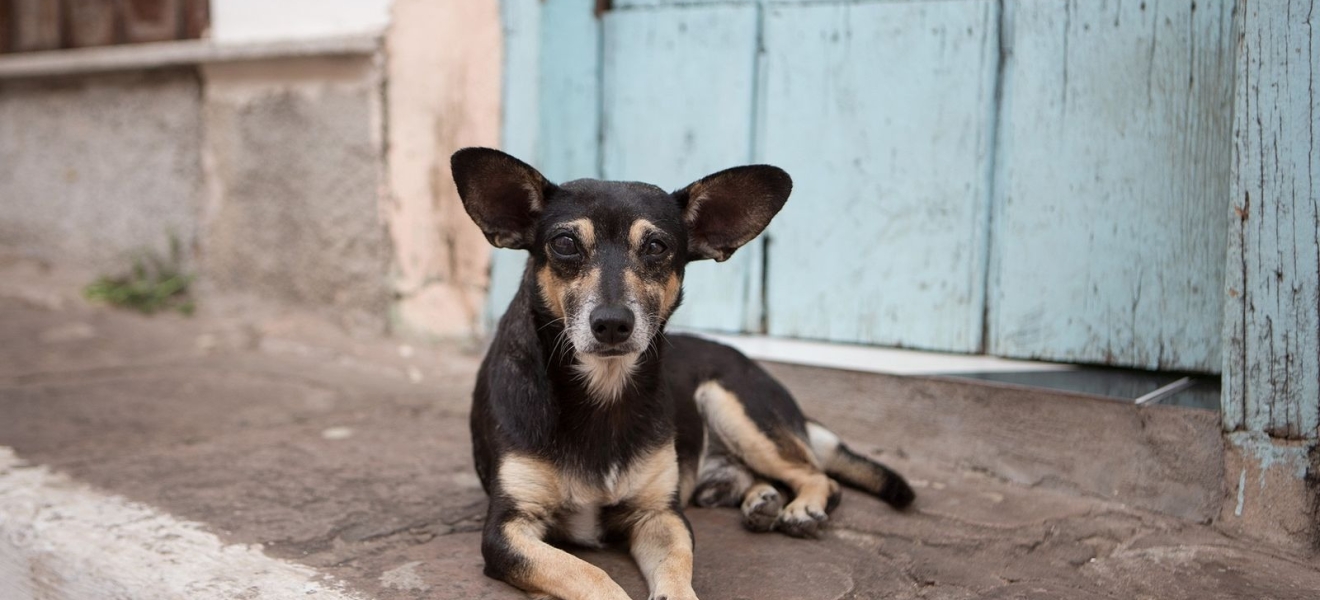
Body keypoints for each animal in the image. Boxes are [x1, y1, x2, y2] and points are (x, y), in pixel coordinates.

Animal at [448, 147, 913, 600]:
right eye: (564, 243)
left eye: (656, 246)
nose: (612, 323)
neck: (604, 390)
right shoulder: (508, 529)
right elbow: (586, 573)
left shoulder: (661, 515)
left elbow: (675, 567)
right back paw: (761, 500)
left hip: (735, 406)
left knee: (818, 475)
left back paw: (801, 507)